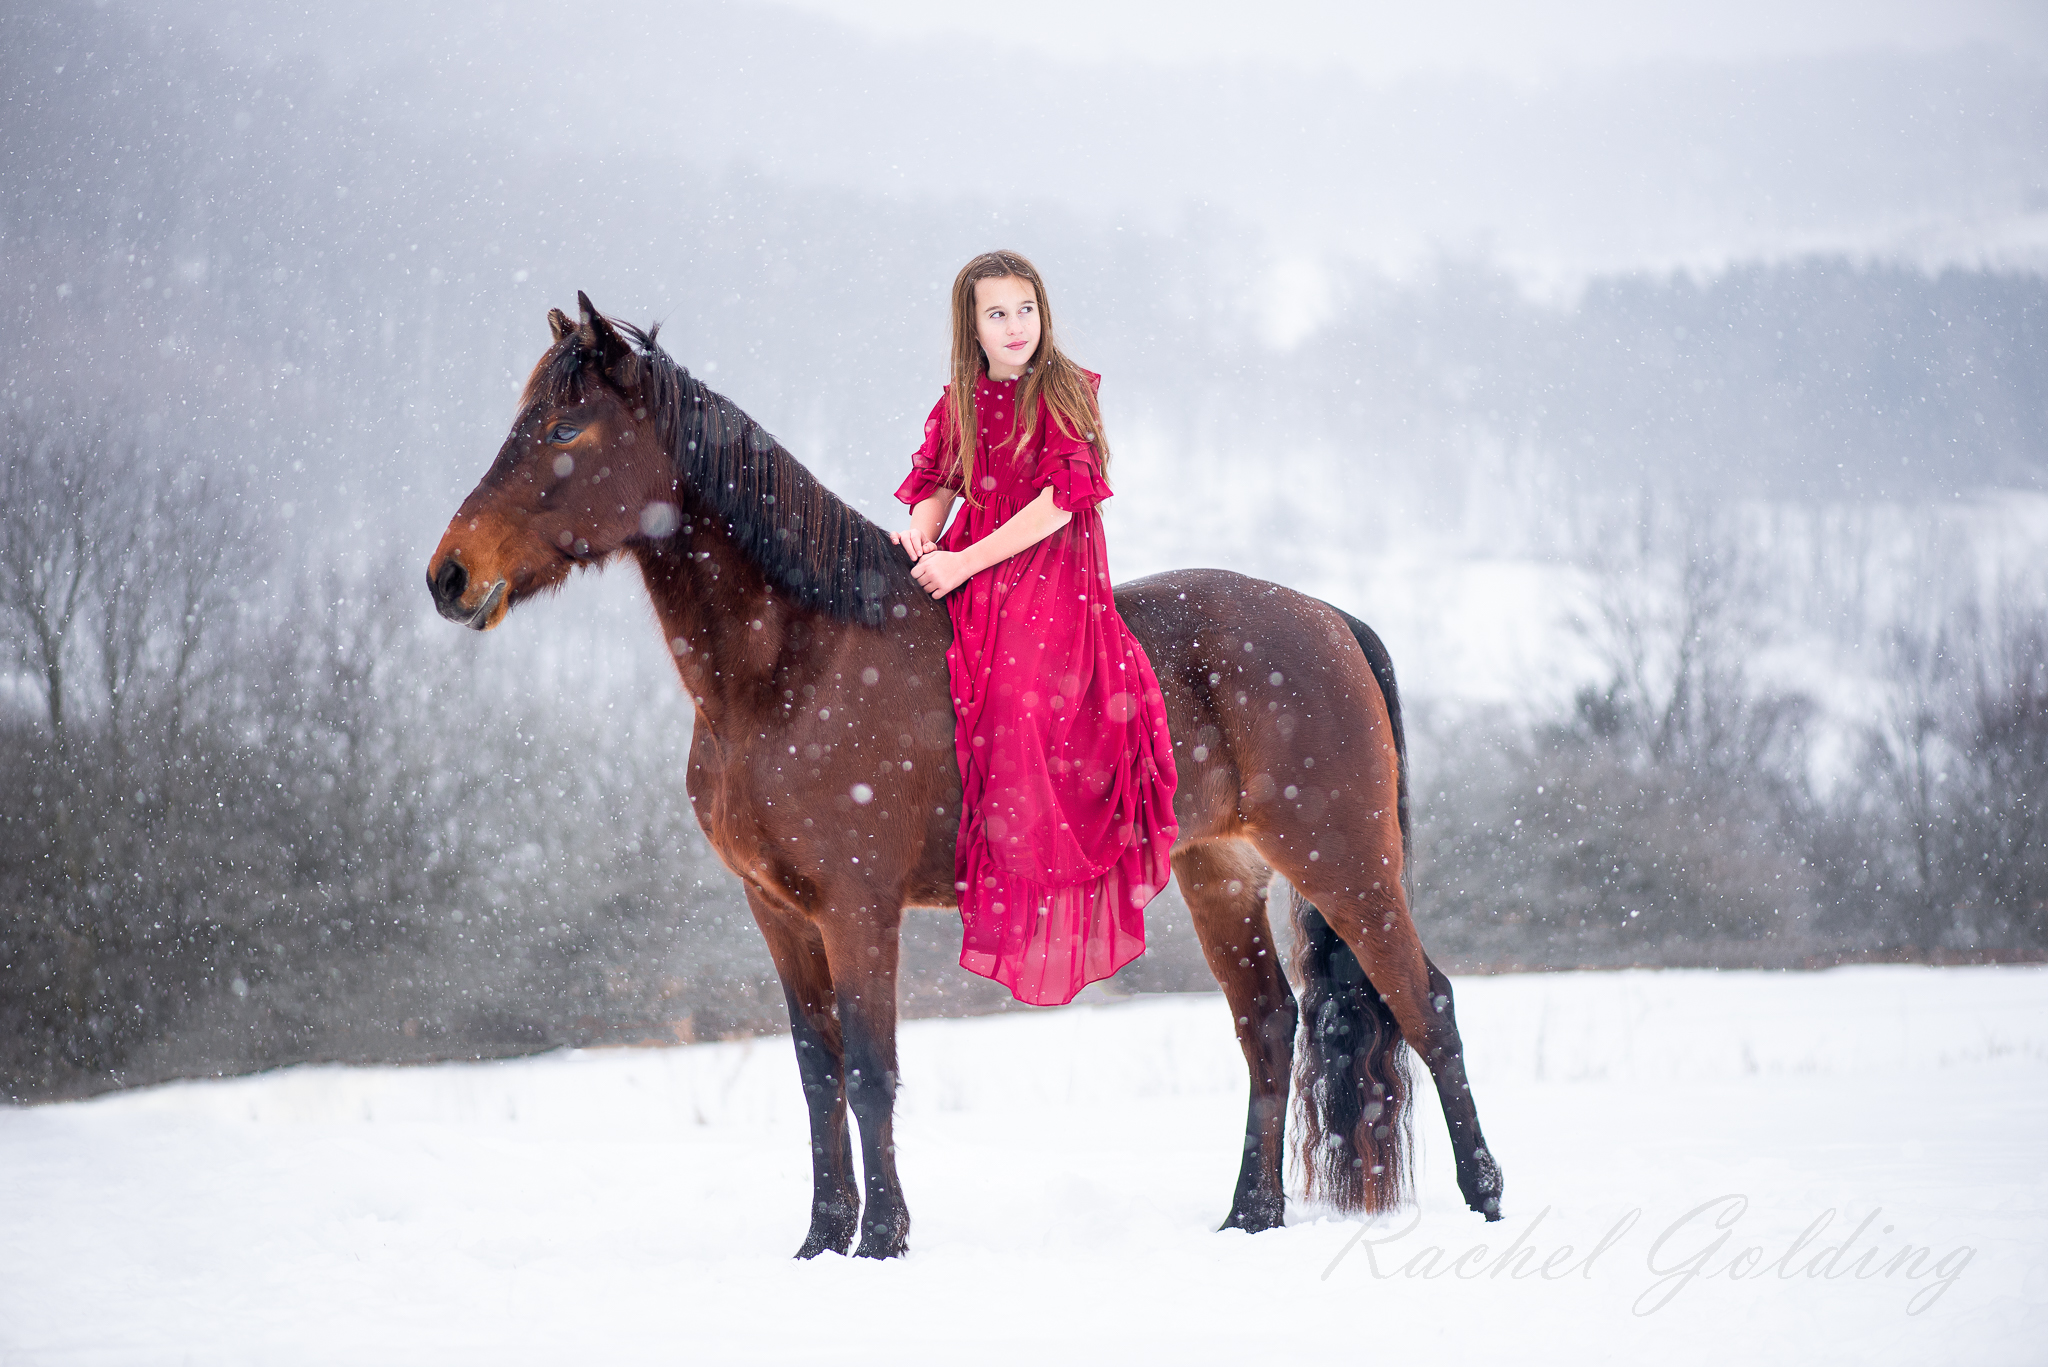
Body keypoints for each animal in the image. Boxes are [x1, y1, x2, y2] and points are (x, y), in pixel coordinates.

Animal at [426, 294, 1504, 1259]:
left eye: (564, 426)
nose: (449, 575)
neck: (793, 665)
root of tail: (1328, 616)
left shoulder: (857, 906)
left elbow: (870, 1070)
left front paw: (880, 1241)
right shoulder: (776, 909)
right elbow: (815, 1072)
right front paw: (819, 1242)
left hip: (1344, 858)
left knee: (1426, 1002)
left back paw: (1486, 1198)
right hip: (1221, 871)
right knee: (1269, 1023)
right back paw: (1249, 1218)